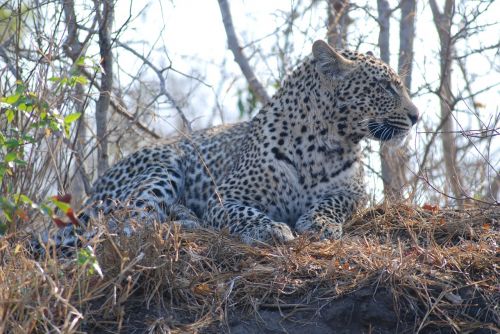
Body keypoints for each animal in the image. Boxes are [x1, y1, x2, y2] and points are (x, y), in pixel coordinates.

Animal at [33, 39, 420, 252]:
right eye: (386, 87)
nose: (416, 116)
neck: (326, 144)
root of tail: (92, 192)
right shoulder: (225, 197)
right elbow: (241, 212)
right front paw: (269, 228)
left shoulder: (353, 192)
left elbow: (333, 202)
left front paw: (320, 223)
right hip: (163, 164)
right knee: (126, 223)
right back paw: (184, 222)